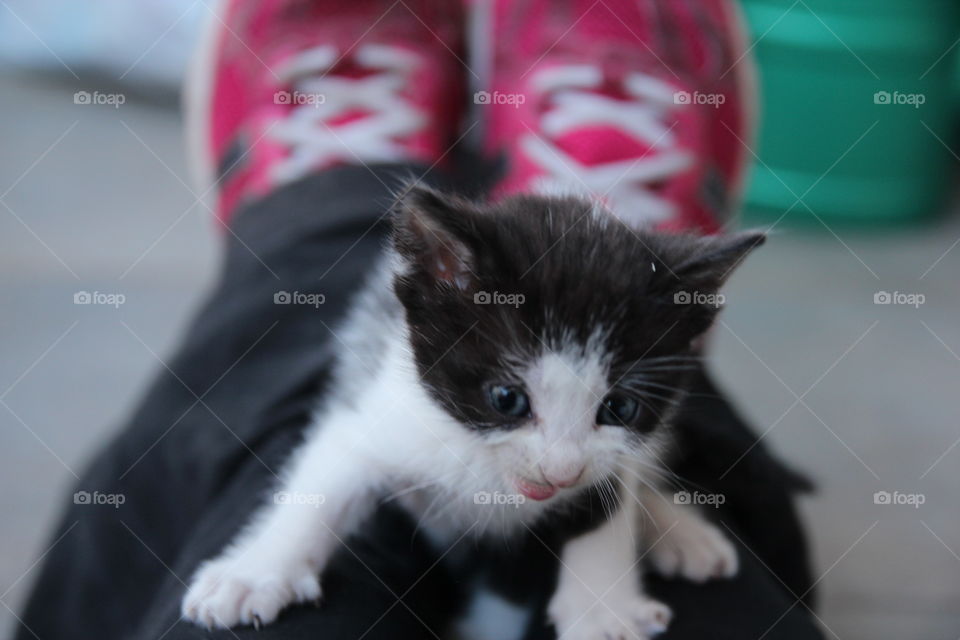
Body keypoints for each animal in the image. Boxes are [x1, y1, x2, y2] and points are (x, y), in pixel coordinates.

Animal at [184, 186, 760, 640]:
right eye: (507, 399)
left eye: (619, 406)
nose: (559, 472)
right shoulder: (380, 409)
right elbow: (327, 480)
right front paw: (256, 572)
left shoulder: (611, 457)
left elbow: (606, 499)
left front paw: (604, 611)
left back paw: (682, 531)